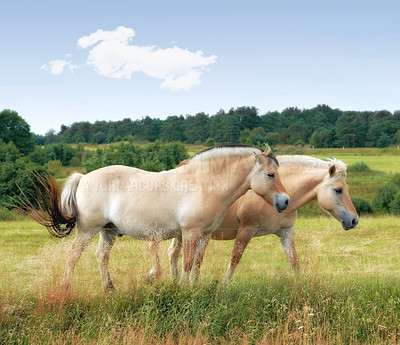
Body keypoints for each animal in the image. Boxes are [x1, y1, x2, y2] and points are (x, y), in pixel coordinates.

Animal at [16, 145, 290, 290]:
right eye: (270, 175)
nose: (285, 201)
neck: (204, 183)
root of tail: (83, 177)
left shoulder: (204, 235)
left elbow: (197, 263)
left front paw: (194, 287)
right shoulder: (189, 233)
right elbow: (186, 263)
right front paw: (186, 290)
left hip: (107, 231)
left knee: (101, 256)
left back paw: (109, 289)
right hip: (88, 230)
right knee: (73, 255)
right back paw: (66, 288)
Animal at [149, 155, 360, 280]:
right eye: (338, 190)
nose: (354, 220)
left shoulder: (286, 233)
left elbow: (294, 261)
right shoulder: (246, 231)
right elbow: (235, 259)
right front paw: (223, 286)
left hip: (182, 233)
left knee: (173, 254)